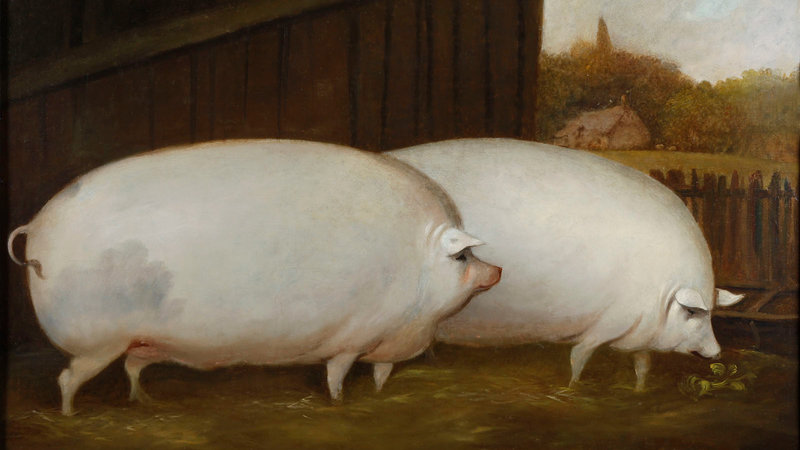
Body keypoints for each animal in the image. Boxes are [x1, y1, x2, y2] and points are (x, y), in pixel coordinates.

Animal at [7, 139, 501, 415]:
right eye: (462, 257)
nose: (497, 269)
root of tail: (35, 228)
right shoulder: (355, 336)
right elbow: (337, 375)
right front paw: (339, 405)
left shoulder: (385, 343)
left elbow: (380, 374)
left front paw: (376, 396)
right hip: (96, 342)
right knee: (67, 379)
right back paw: (70, 417)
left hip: (139, 342)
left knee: (131, 369)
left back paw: (143, 403)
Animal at [390, 138, 744, 391]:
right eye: (693, 312)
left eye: (711, 313)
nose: (717, 352)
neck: (662, 291)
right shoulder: (610, 321)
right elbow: (579, 356)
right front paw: (571, 390)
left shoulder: (639, 332)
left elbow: (643, 365)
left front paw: (640, 391)